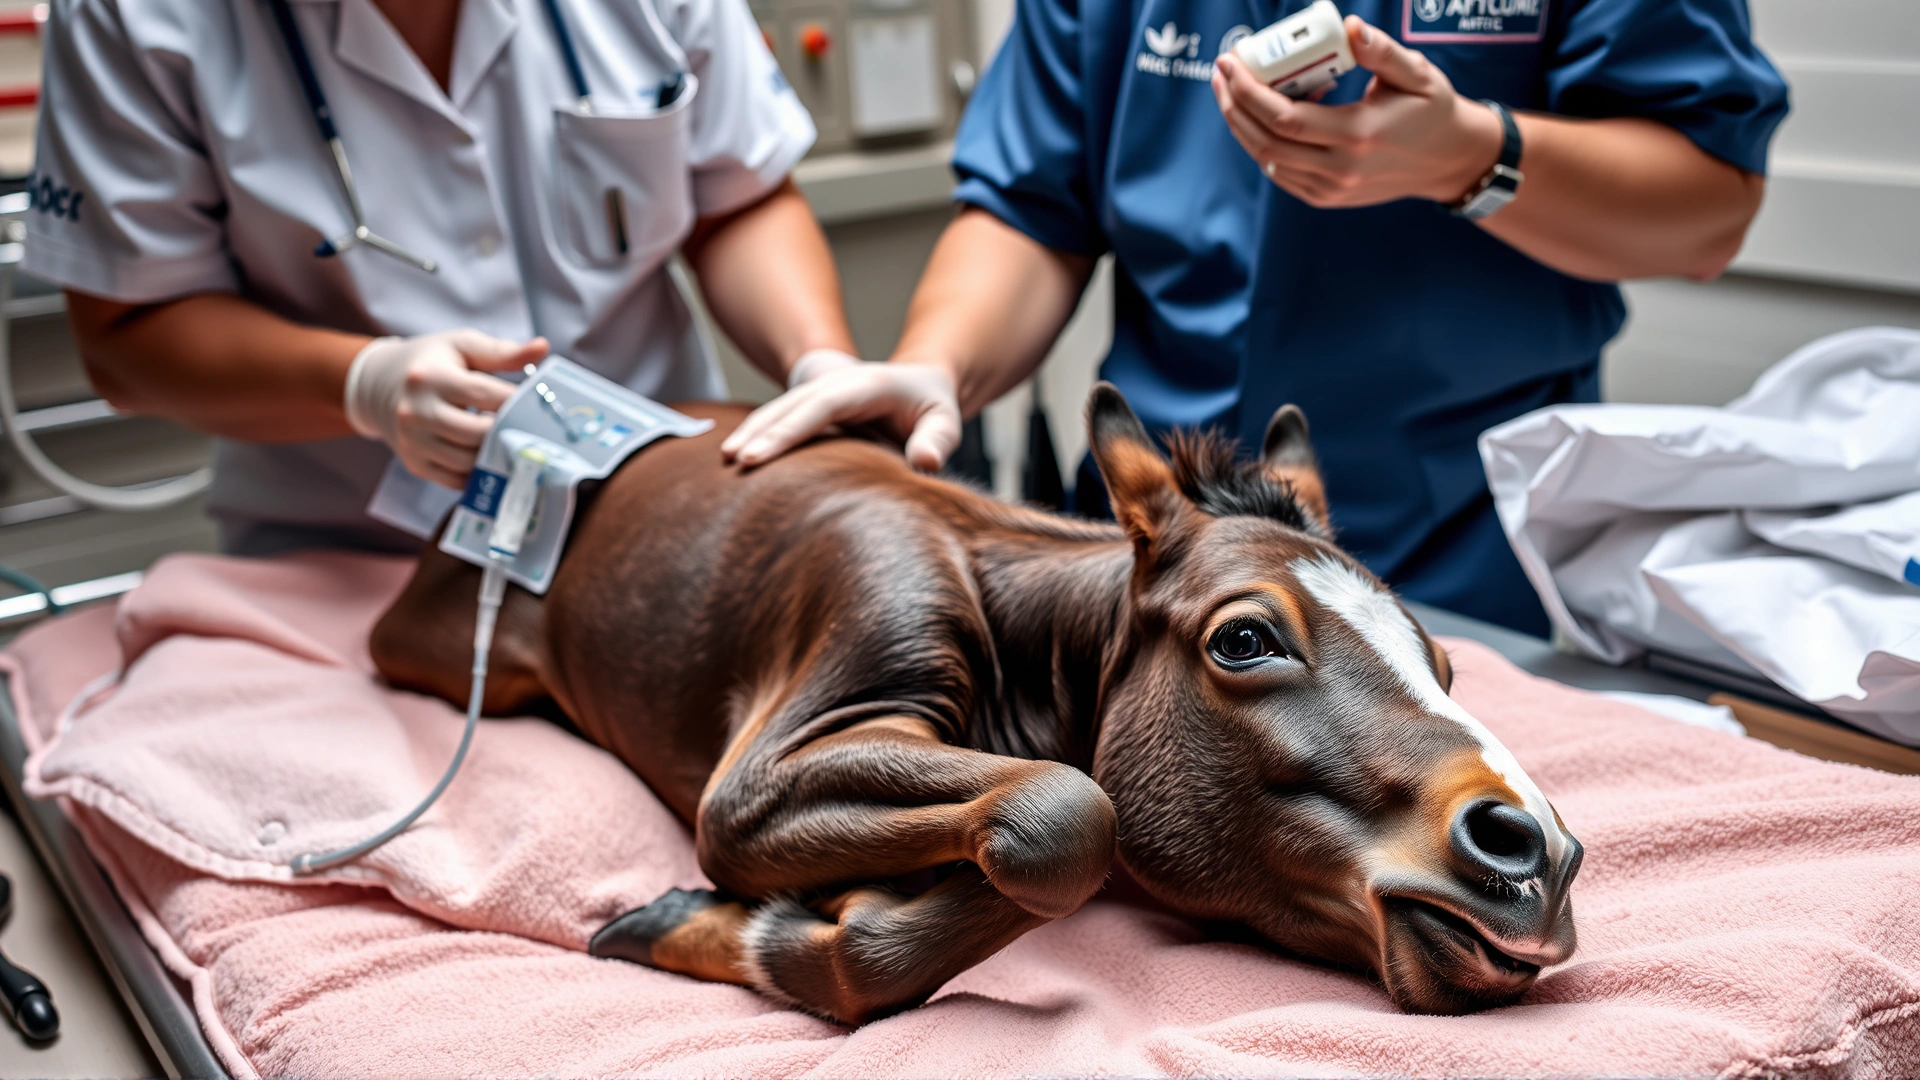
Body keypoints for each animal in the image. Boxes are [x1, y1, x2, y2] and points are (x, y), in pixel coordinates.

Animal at [369, 384, 1582, 1025]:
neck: (1018, 628)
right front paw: (732, 921)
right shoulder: (763, 774)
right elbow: (1069, 814)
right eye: (1246, 639)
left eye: (1445, 664)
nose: (1534, 853)